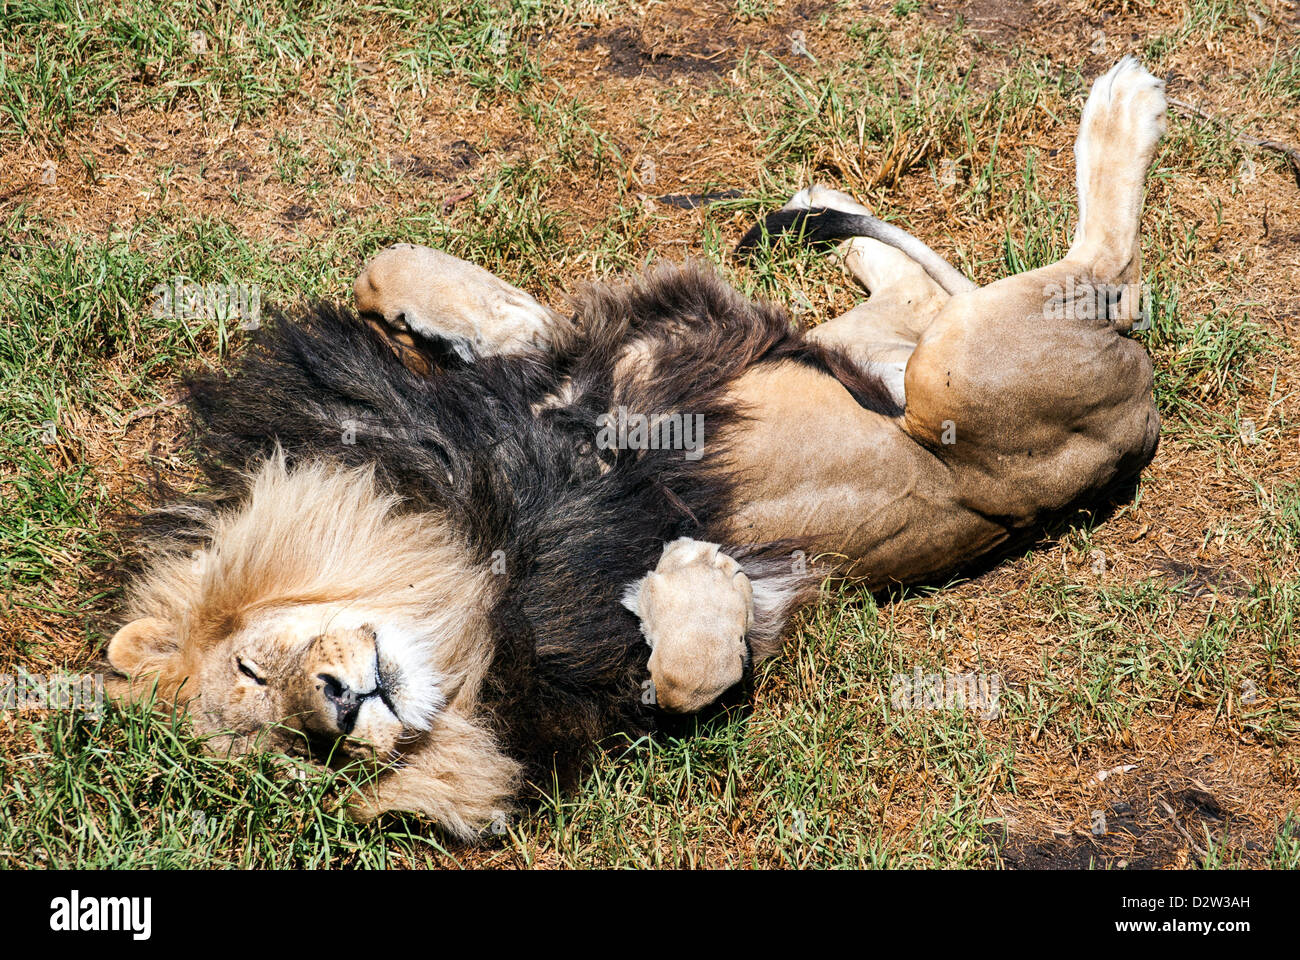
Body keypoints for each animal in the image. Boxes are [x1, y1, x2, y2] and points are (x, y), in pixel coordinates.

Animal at [107, 57, 1166, 838]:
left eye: (255, 672)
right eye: (305, 753)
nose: (337, 706)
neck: (465, 591)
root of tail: (1140, 414)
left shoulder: (548, 385)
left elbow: (417, 275)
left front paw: (434, 301)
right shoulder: (625, 683)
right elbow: (692, 677)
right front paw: (692, 583)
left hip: (950, 372)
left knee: (1097, 269)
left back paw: (1120, 105)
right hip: (945, 373)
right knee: (989, 289)